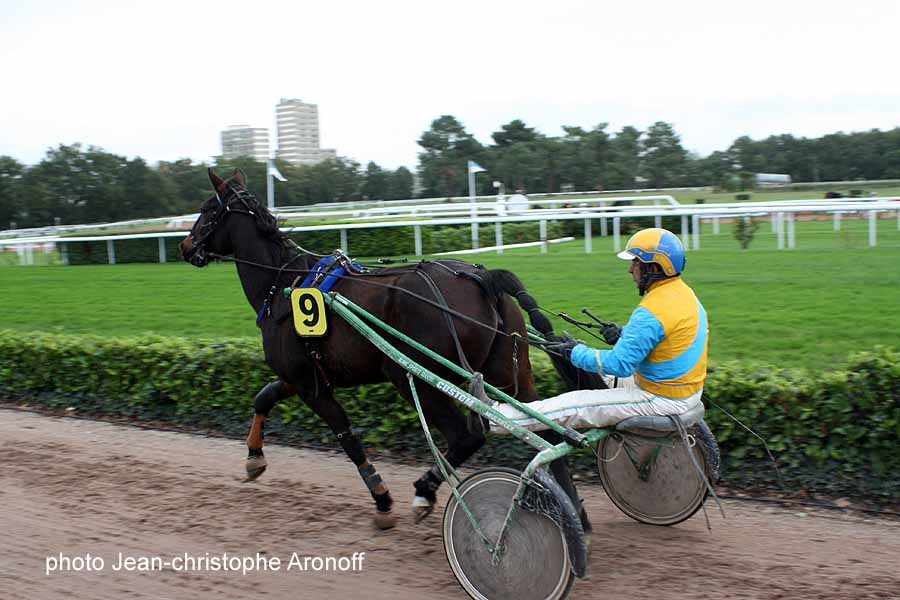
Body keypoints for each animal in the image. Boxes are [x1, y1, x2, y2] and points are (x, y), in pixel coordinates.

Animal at [178, 168, 596, 528]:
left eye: (208, 209)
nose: (185, 245)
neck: (283, 283)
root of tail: (484, 277)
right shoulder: (301, 375)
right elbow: (263, 397)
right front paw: (253, 457)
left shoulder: (312, 386)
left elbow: (348, 439)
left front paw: (381, 500)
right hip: (511, 371)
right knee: (551, 434)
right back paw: (574, 512)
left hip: (414, 375)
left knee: (467, 435)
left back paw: (425, 491)